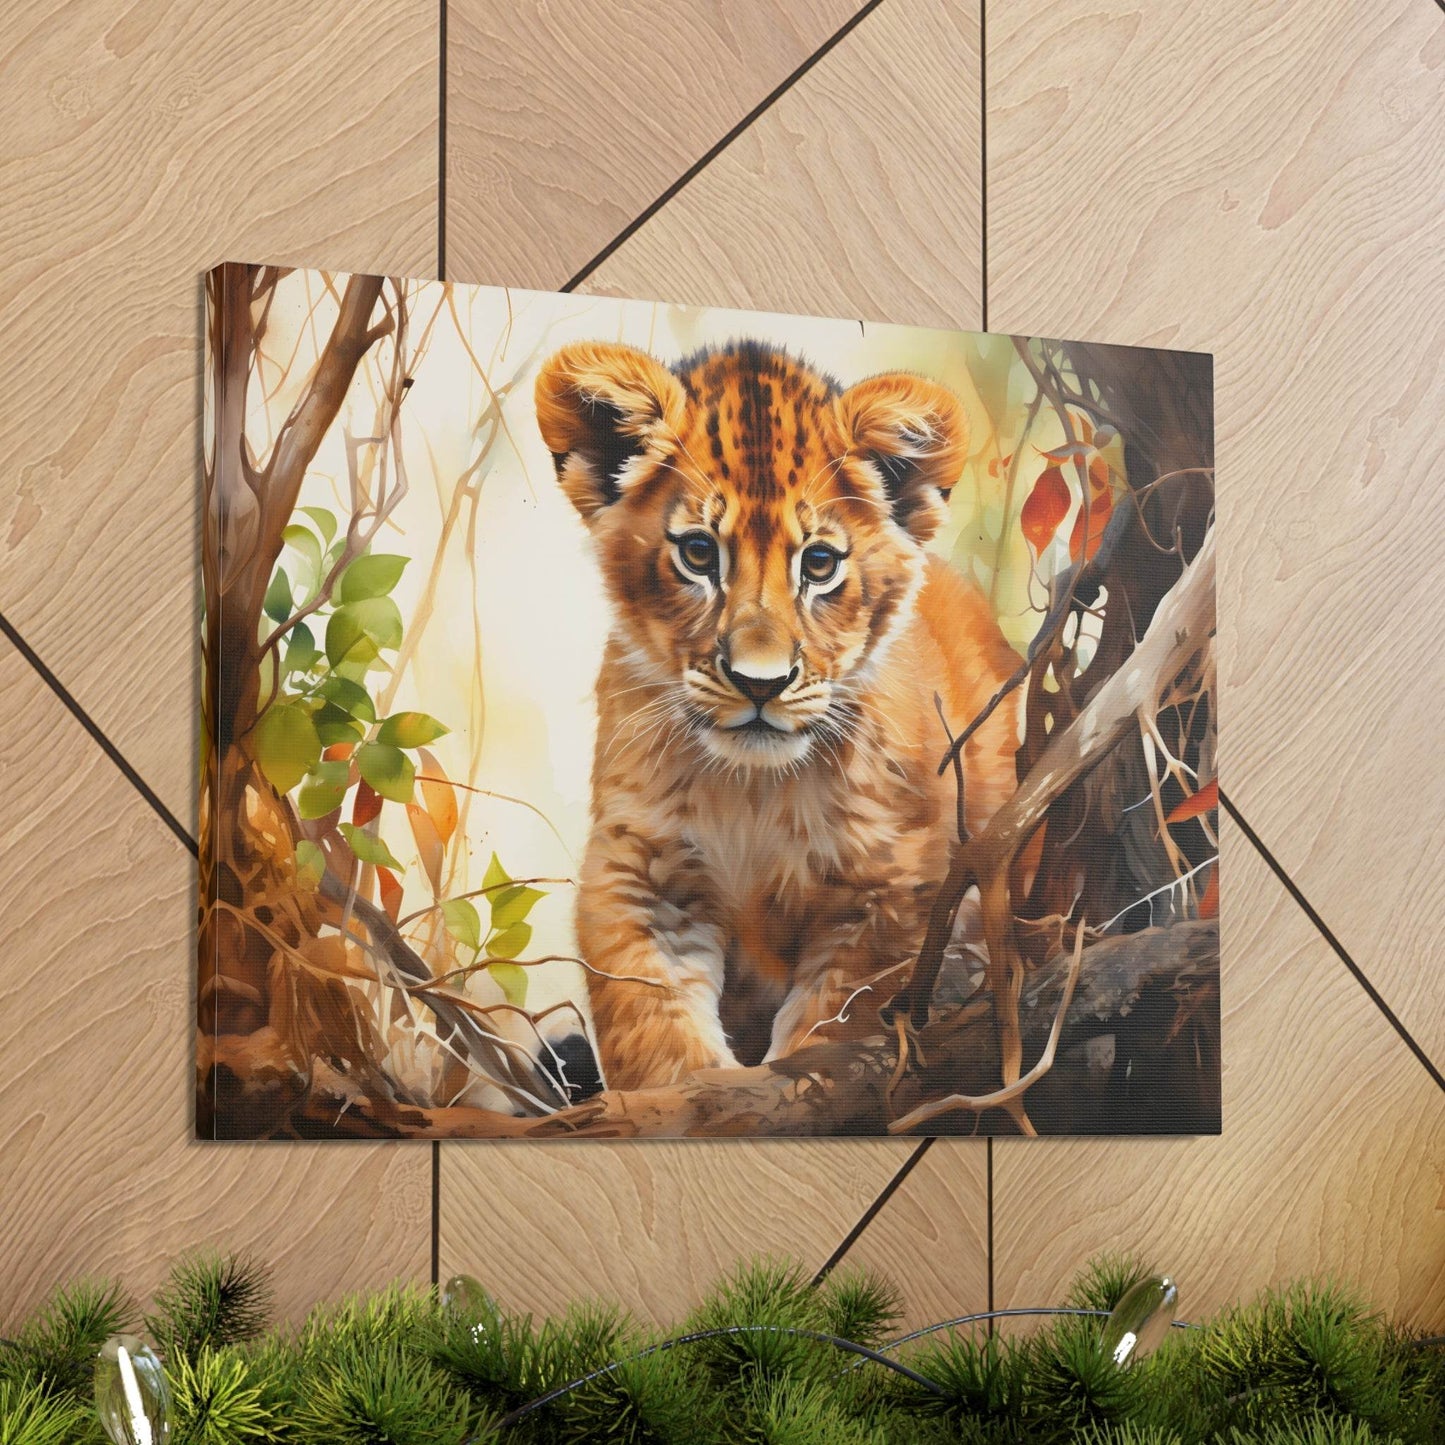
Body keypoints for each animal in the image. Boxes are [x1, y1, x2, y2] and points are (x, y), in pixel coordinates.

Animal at [535, 339, 1024, 1091]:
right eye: (698, 553)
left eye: (819, 564)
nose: (758, 684)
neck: (753, 791)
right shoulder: (640, 870)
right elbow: (652, 1027)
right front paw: (691, 1094)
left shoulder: (888, 888)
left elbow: (837, 1024)